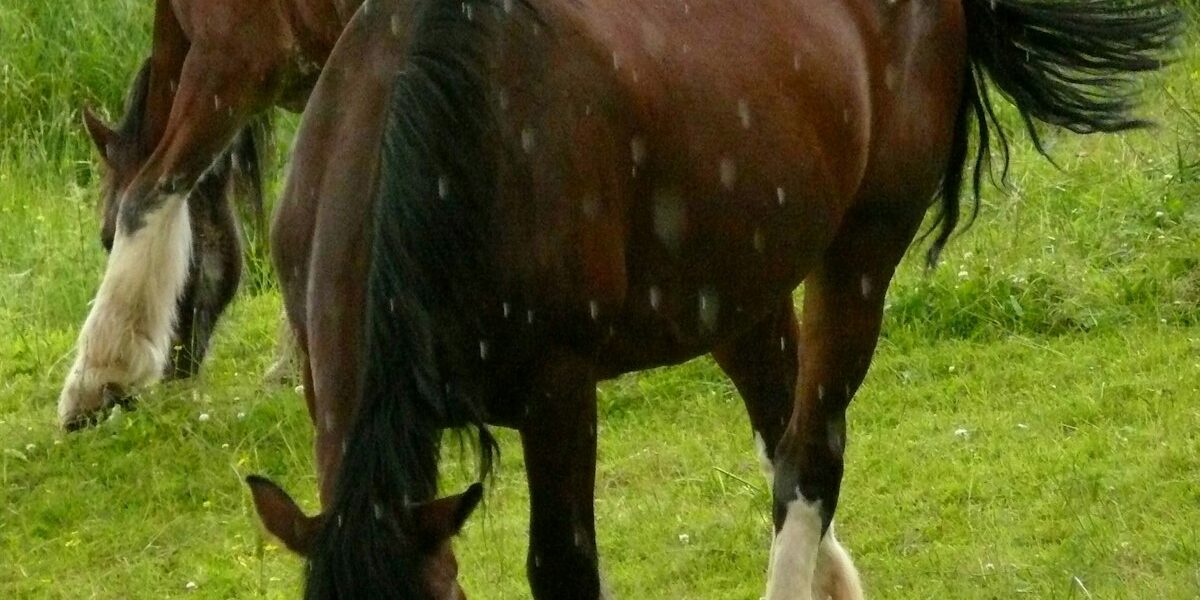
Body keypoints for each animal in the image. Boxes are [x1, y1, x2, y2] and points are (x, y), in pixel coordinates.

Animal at [58, 0, 368, 429]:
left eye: (107, 237)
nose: (173, 379)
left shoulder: (228, 65)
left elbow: (147, 194)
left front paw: (98, 379)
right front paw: (291, 366)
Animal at [239, 0, 1177, 597]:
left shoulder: (558, 392)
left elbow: (563, 568)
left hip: (859, 255)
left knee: (809, 463)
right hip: (738, 294)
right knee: (782, 439)